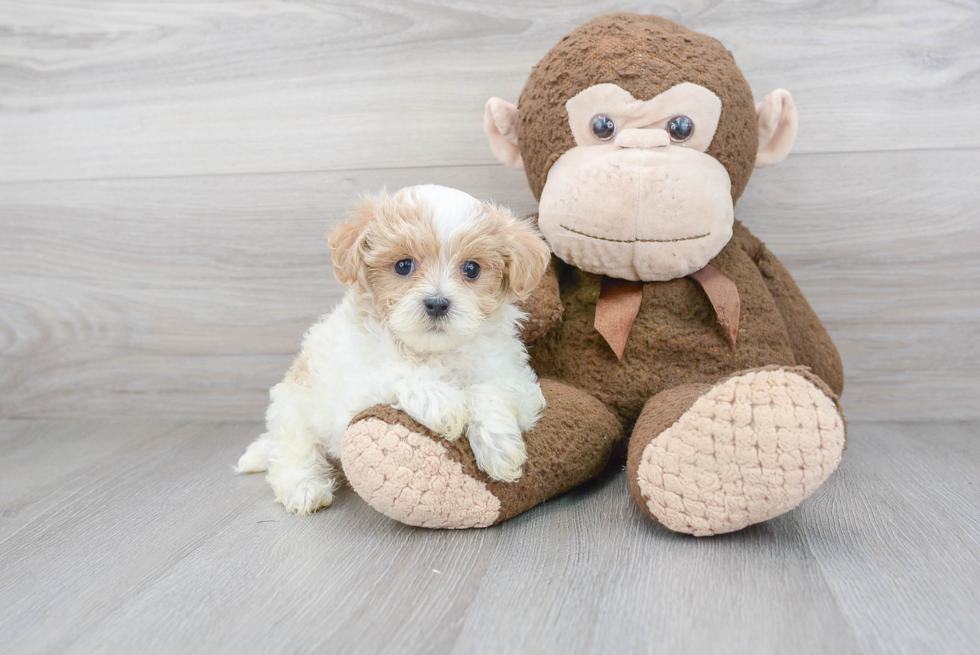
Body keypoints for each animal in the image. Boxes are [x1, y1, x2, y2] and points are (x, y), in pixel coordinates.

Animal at [236, 184, 552, 516]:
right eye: (403, 265)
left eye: (471, 269)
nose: (437, 303)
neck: (432, 352)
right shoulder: (351, 389)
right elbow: (396, 372)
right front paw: (442, 401)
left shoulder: (516, 379)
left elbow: (487, 390)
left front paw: (499, 444)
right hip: (292, 406)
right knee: (292, 452)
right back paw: (304, 487)